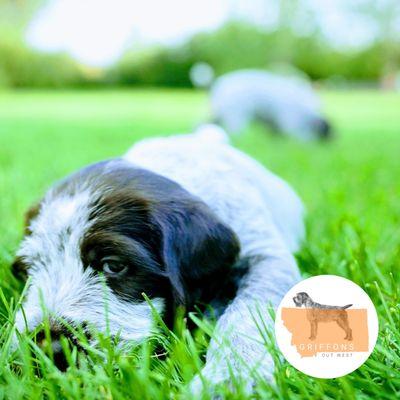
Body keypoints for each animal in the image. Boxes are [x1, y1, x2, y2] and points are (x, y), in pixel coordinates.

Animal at [11, 124, 304, 388]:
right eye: (28, 271)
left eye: (113, 265)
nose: (50, 347)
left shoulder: (267, 257)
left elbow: (247, 311)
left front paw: (231, 379)